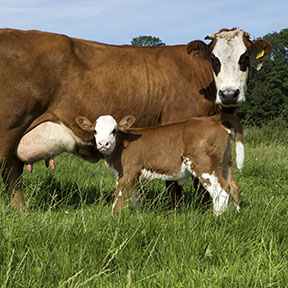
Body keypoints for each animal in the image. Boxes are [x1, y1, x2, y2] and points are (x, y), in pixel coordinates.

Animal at [75, 113, 243, 215]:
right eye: (95, 131)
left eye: (114, 130)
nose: (103, 144)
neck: (122, 144)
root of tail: (212, 119)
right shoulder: (135, 176)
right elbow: (135, 198)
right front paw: (135, 217)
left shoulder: (127, 173)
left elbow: (119, 199)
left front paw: (114, 219)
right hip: (225, 163)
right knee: (233, 185)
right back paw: (236, 213)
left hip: (204, 165)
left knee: (221, 190)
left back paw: (216, 217)